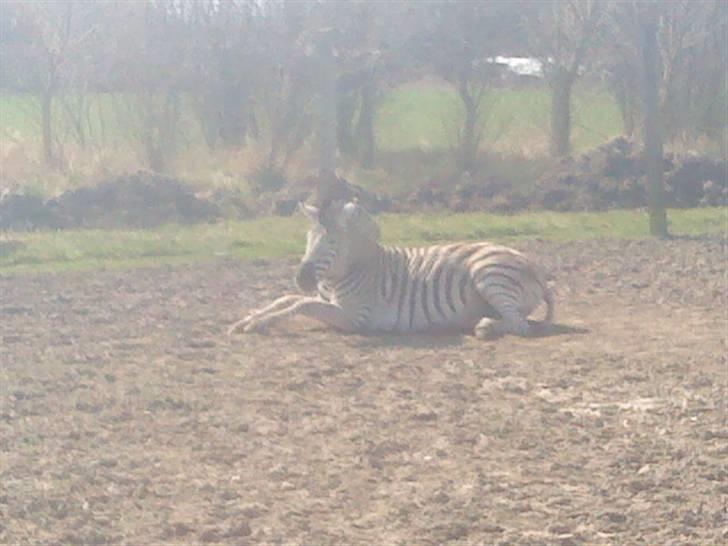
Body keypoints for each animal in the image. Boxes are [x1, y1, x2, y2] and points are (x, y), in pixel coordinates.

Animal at [228, 200, 554, 339]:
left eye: (332, 241)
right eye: (309, 237)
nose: (301, 277)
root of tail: (535, 265)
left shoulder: (354, 317)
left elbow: (300, 304)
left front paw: (257, 323)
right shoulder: (324, 299)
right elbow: (288, 299)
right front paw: (249, 317)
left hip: (489, 275)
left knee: (520, 325)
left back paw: (485, 327)